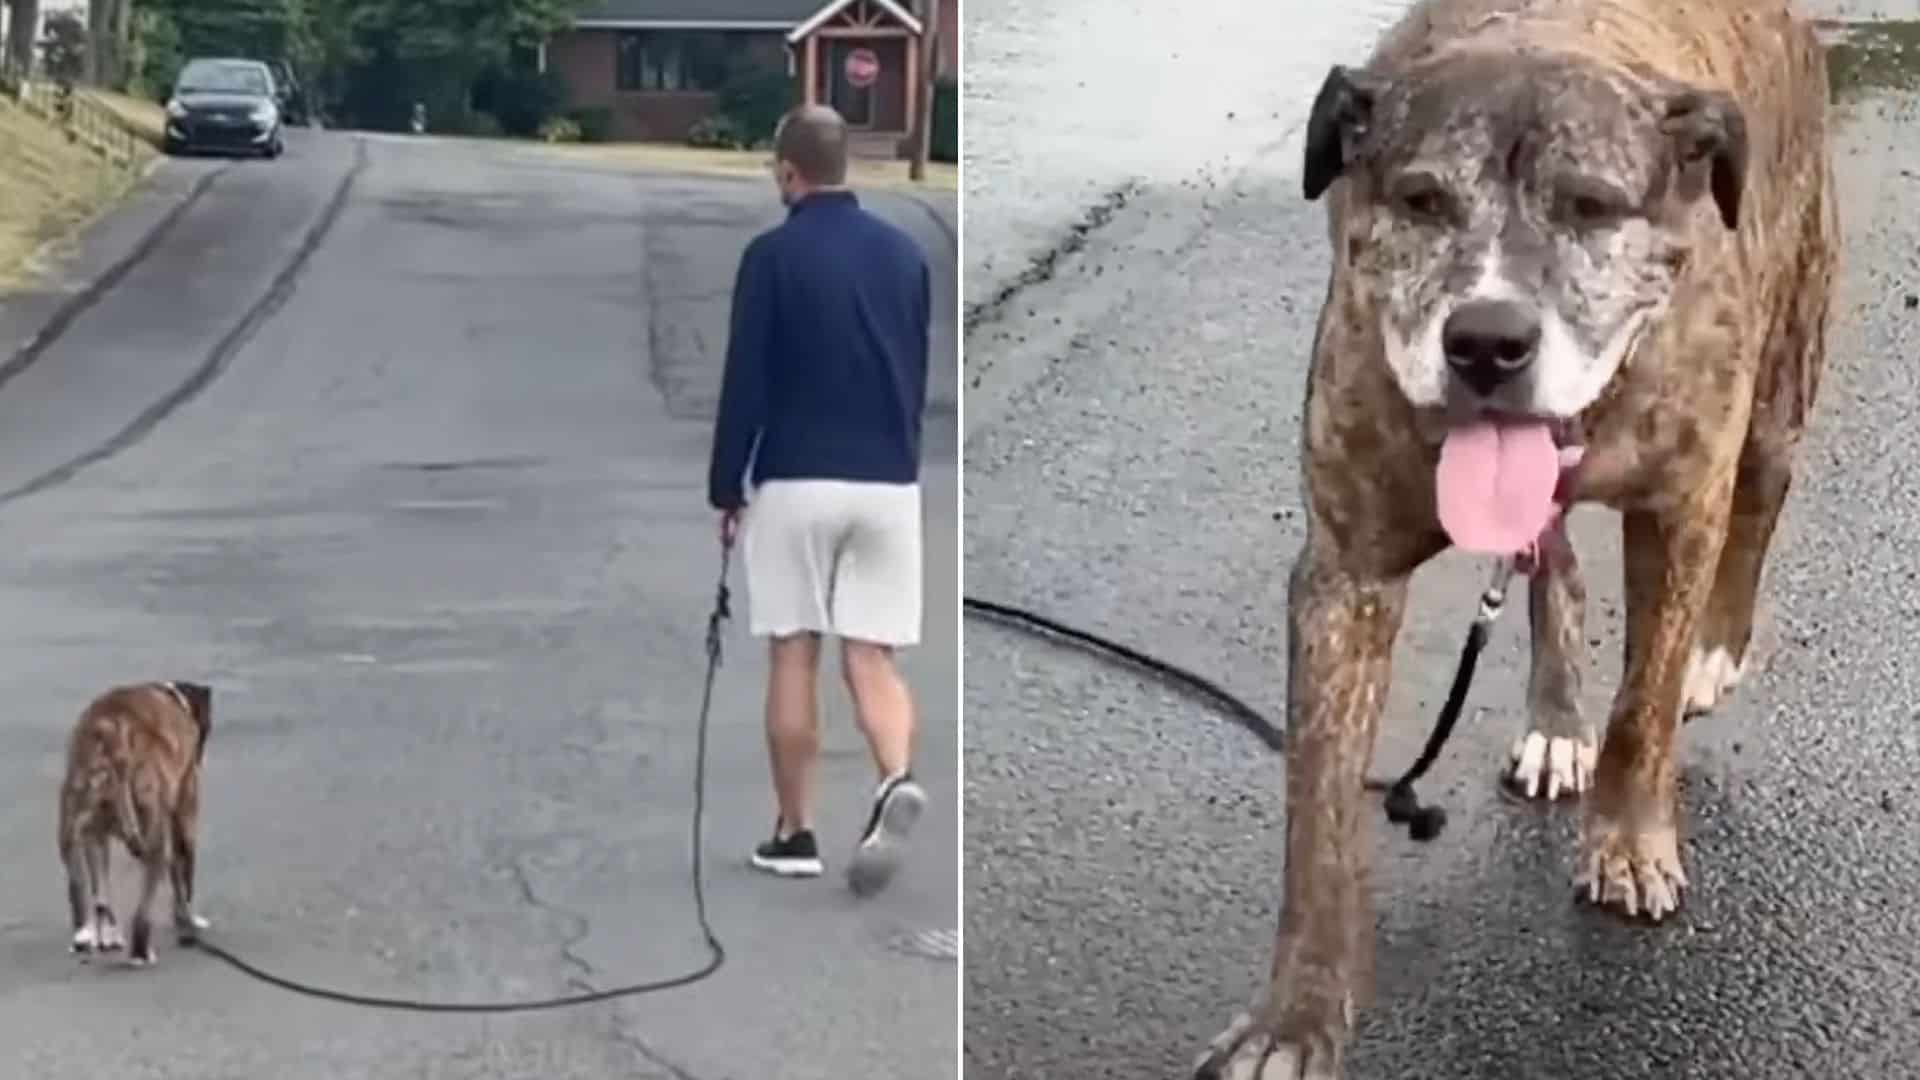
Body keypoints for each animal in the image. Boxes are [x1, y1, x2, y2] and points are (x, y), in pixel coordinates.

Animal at [58, 676, 214, 960]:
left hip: (76, 829)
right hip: (157, 834)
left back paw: (92, 937)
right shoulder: (184, 817)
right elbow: (184, 880)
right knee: (142, 911)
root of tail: (113, 734)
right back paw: (140, 953)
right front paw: (188, 921)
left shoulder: (95, 838)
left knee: (86, 893)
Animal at [1190, 2, 1835, 1076]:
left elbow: (1645, 705)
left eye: (1590, 207)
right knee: (1553, 561)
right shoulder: (1345, 574)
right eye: (1421, 201)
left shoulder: (1681, 510)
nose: (1487, 340)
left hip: (1786, 370)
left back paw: (1714, 652)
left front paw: (1628, 841)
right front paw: (1298, 1016)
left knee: (1759, 501)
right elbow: (1317, 819)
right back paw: (1557, 718)